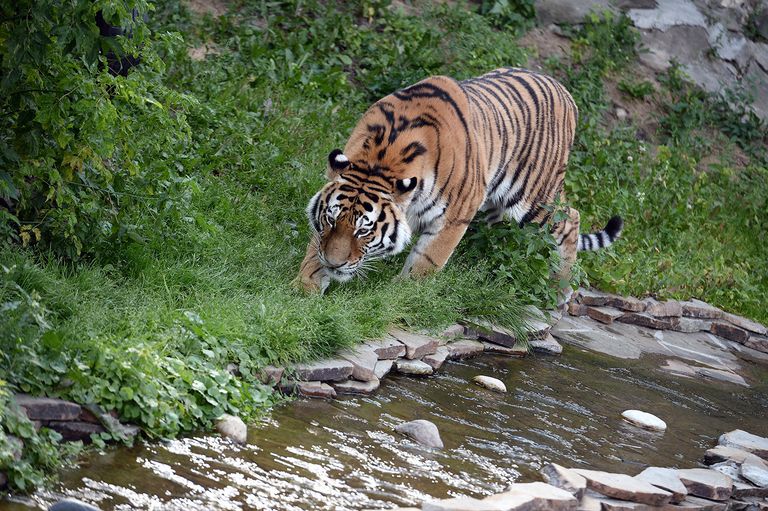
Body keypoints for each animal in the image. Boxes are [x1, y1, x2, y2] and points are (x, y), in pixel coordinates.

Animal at [297, 67, 622, 297]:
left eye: (364, 230)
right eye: (331, 219)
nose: (335, 264)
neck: (382, 159)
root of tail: (565, 91)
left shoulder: (455, 215)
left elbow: (425, 263)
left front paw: (400, 298)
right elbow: (315, 250)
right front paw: (305, 290)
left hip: (533, 195)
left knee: (570, 219)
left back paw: (559, 291)